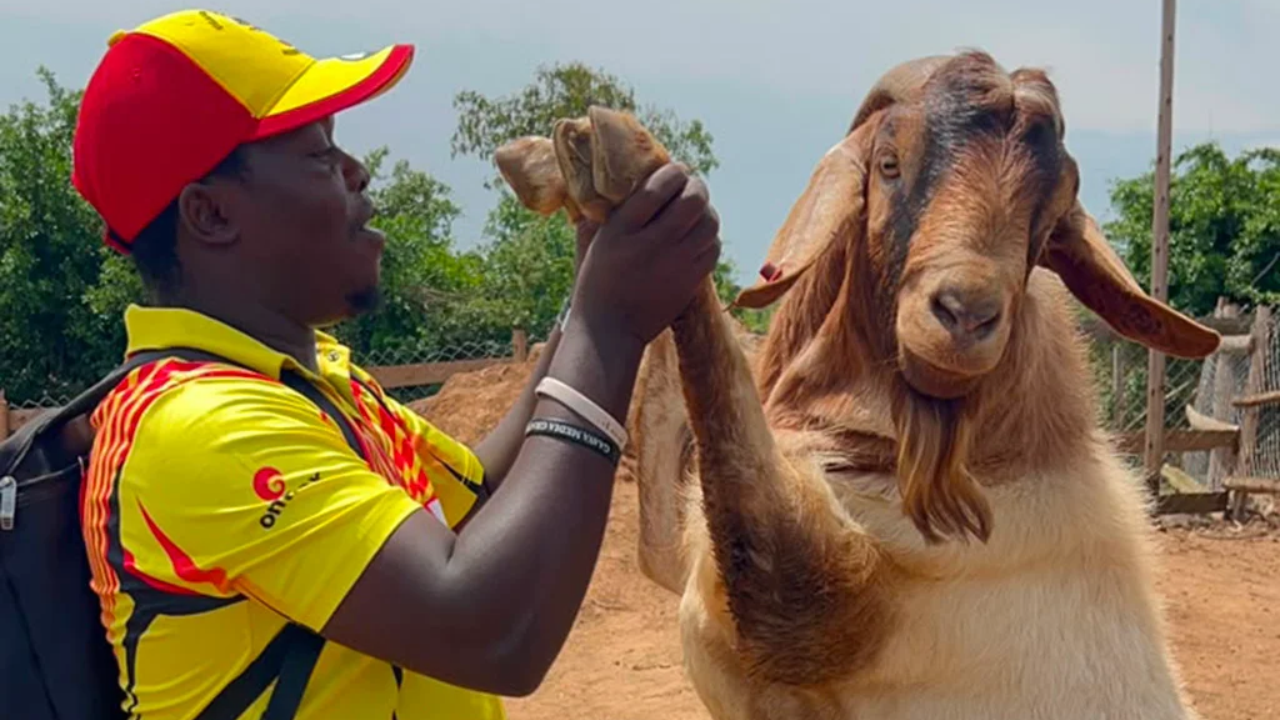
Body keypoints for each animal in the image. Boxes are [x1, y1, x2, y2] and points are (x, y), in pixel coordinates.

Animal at [494, 51, 1217, 719]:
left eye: (1049, 219)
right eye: (889, 164)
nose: (965, 314)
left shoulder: (825, 602)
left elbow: (736, 455)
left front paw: (617, 153)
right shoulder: (702, 577)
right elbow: (661, 479)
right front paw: (556, 159)